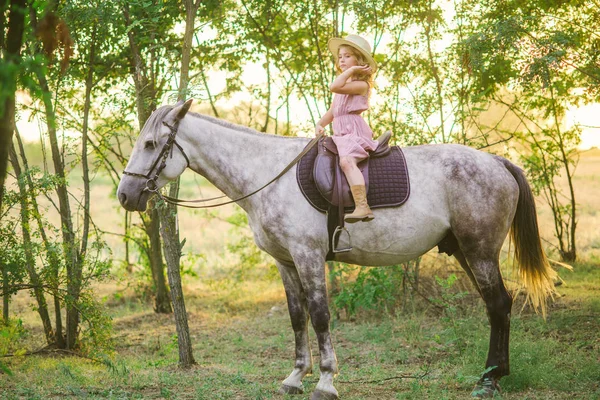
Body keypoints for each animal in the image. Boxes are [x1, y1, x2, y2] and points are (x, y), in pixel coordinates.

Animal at [117, 99, 556, 396]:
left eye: (152, 144)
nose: (125, 195)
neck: (267, 175)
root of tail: (499, 162)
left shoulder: (308, 256)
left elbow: (320, 315)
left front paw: (326, 381)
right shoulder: (285, 261)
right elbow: (297, 317)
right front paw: (295, 376)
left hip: (479, 251)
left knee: (499, 305)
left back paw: (490, 380)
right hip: (466, 251)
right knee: (496, 306)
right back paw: (494, 374)